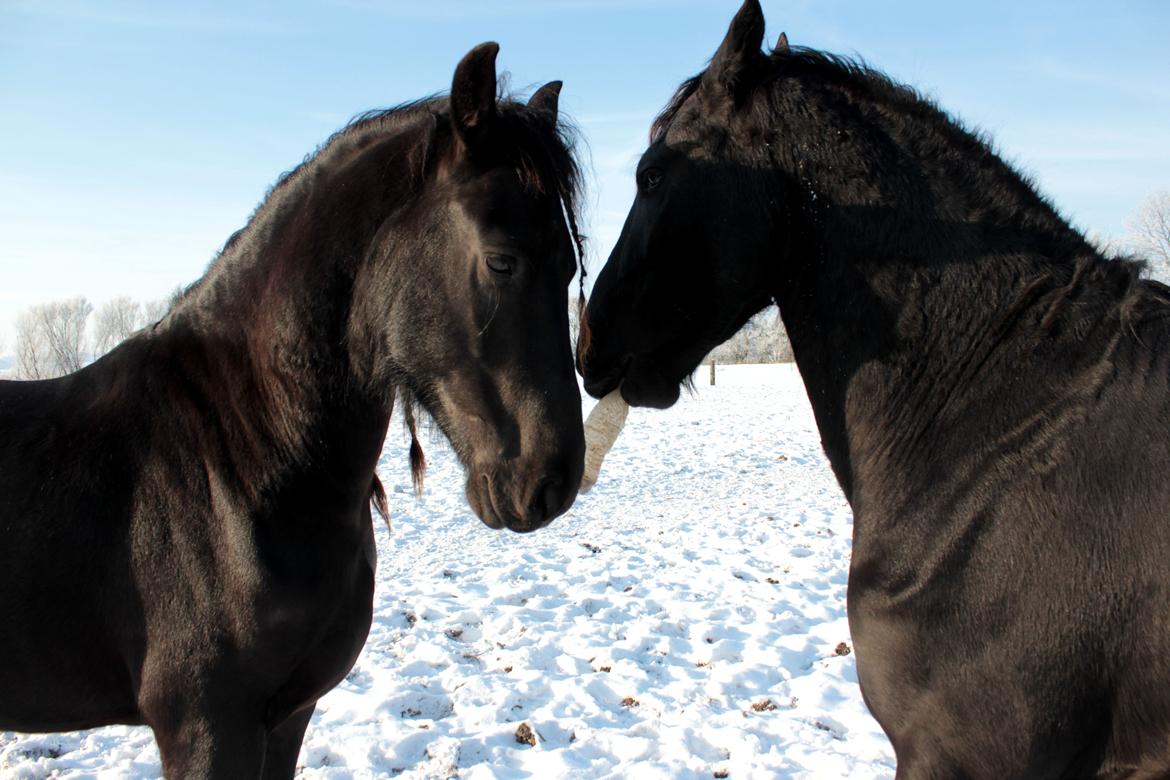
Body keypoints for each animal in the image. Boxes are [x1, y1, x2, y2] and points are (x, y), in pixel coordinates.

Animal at [0, 44, 585, 780]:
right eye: (502, 261)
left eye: (570, 268)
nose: (553, 482)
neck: (236, 468)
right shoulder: (206, 729)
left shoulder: (287, 717)